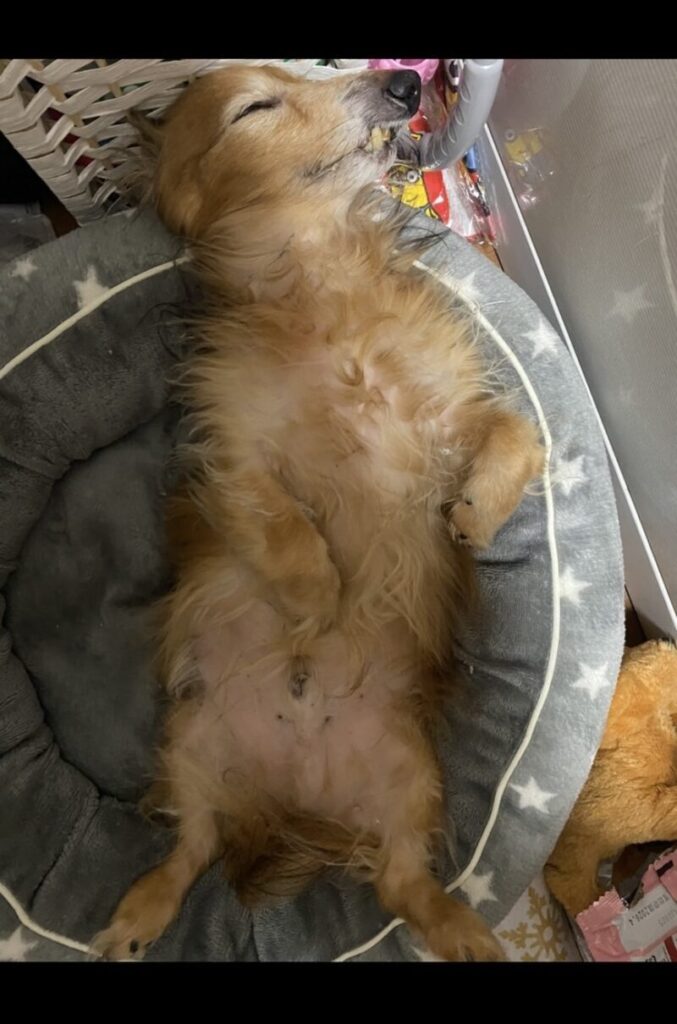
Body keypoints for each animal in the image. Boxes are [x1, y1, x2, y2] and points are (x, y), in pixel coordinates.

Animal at [95, 65, 544, 961]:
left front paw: (475, 515)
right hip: (191, 749)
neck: (321, 280)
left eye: (299, 74)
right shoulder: (234, 452)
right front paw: (315, 602)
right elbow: (286, 527)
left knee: (403, 885)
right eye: (256, 107)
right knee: (192, 848)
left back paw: (466, 932)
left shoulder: (451, 416)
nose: (403, 83)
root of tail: (297, 795)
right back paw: (137, 914)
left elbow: (515, 432)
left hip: (410, 782)